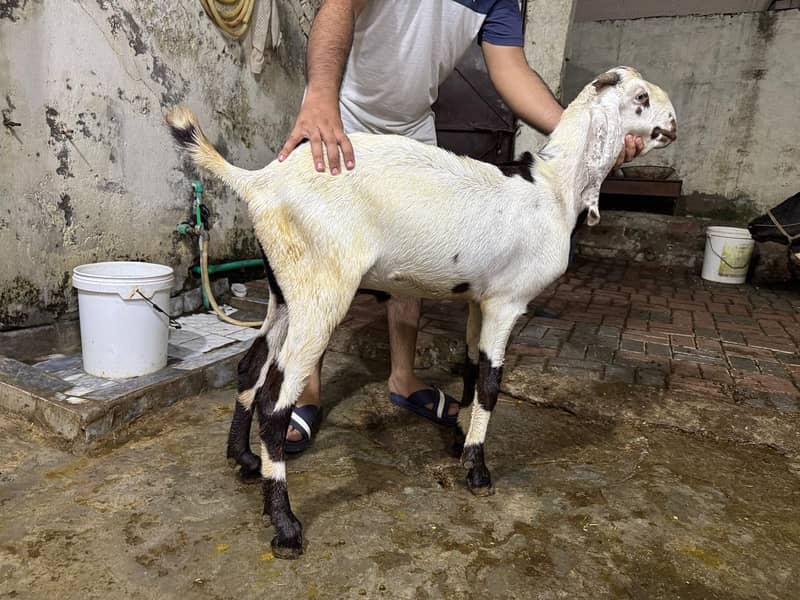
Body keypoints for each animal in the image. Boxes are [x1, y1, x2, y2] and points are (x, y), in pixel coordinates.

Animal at [166, 66, 677, 559]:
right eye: (641, 98)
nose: (673, 124)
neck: (553, 189)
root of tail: (260, 183)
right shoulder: (508, 302)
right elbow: (492, 384)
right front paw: (477, 470)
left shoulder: (479, 299)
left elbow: (471, 369)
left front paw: (459, 438)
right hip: (321, 288)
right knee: (275, 403)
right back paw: (286, 527)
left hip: (284, 286)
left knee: (251, 366)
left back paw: (244, 460)